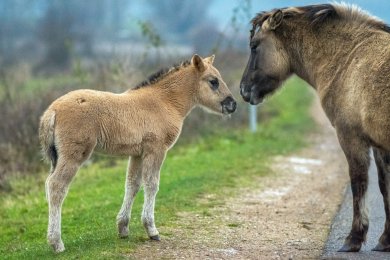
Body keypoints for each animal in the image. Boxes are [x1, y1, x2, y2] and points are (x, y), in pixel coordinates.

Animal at [39, 54, 236, 252]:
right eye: (213, 81)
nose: (232, 104)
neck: (165, 102)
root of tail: (52, 110)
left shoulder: (137, 154)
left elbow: (132, 185)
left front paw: (123, 228)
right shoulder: (156, 150)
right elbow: (152, 185)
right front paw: (152, 230)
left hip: (58, 158)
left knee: (50, 186)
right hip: (74, 155)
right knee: (56, 186)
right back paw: (56, 243)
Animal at [239, 3, 390, 252]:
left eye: (254, 46)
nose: (243, 90)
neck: (349, 59)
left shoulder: (352, 139)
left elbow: (358, 181)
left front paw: (353, 239)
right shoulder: (380, 146)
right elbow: (384, 186)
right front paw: (385, 239)